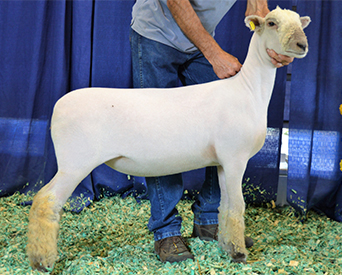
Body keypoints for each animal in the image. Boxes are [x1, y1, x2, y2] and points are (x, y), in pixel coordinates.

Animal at [26, 6, 310, 272]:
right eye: (272, 23)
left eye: (300, 23)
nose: (302, 45)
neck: (248, 90)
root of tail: (57, 107)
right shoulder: (235, 158)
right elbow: (237, 207)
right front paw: (239, 254)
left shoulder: (222, 162)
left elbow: (224, 206)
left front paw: (227, 244)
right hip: (74, 163)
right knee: (45, 201)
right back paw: (41, 261)